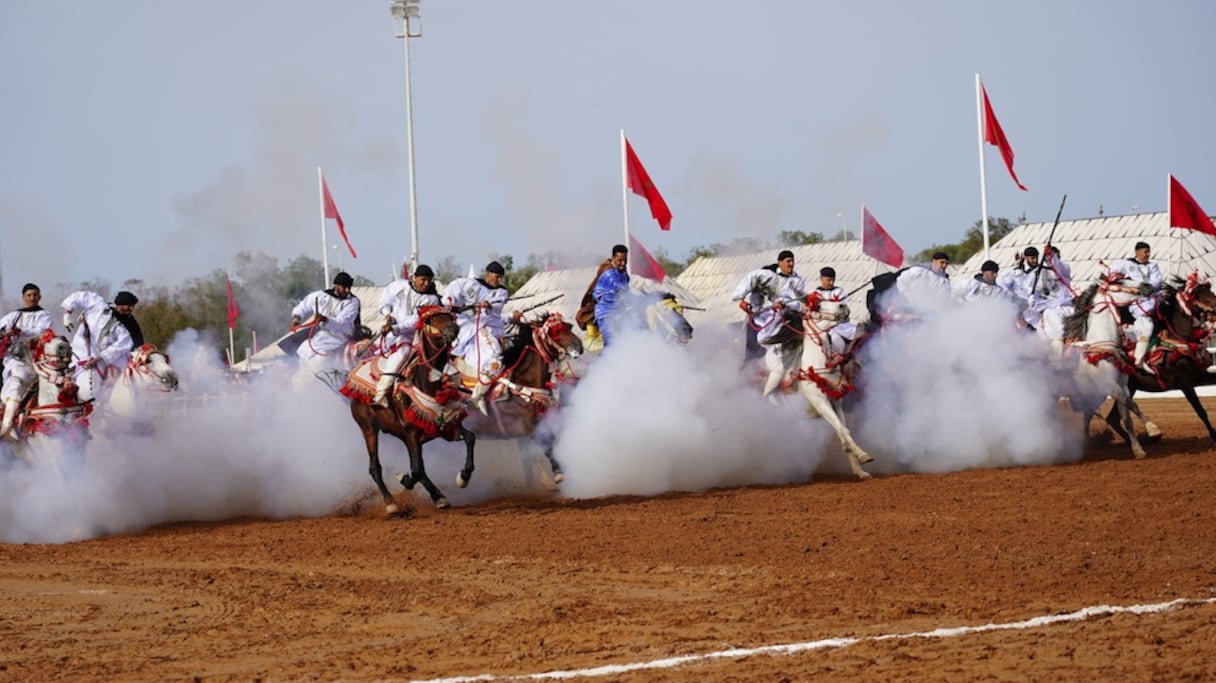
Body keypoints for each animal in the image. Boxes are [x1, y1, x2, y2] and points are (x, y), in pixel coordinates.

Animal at [342, 307, 474, 510]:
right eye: (431, 320)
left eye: (449, 315)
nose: (453, 329)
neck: (428, 383)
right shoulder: (412, 433)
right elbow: (416, 471)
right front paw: (402, 479)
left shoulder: (445, 425)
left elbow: (470, 438)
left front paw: (463, 478)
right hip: (369, 428)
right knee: (375, 467)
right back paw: (390, 503)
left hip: (400, 434)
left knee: (418, 467)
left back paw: (439, 497)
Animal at [457, 311, 586, 481]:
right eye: (556, 331)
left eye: (567, 326)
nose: (579, 346)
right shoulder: (531, 430)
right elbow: (548, 449)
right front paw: (558, 472)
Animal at [787, 297, 875, 478]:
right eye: (818, 306)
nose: (842, 305)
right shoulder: (821, 404)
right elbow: (843, 430)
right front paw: (862, 455)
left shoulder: (836, 403)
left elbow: (843, 433)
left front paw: (860, 470)